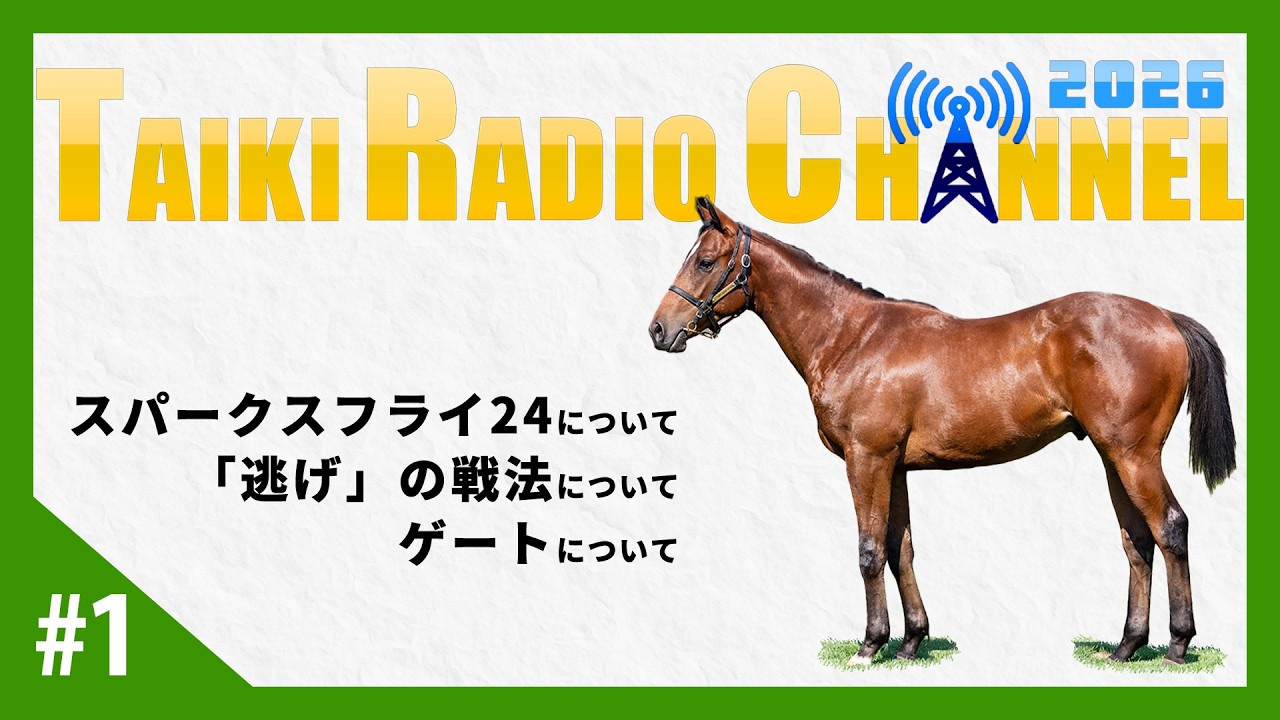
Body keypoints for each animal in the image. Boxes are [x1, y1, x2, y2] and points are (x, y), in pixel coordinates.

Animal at [648, 197, 1236, 666]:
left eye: (705, 261)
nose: (659, 329)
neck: (853, 337)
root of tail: (1165, 317)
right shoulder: (895, 467)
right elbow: (898, 548)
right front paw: (911, 641)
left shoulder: (867, 459)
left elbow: (868, 550)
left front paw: (869, 646)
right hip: (1113, 456)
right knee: (1138, 541)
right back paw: (1127, 646)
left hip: (1135, 455)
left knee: (1171, 528)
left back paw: (1177, 645)